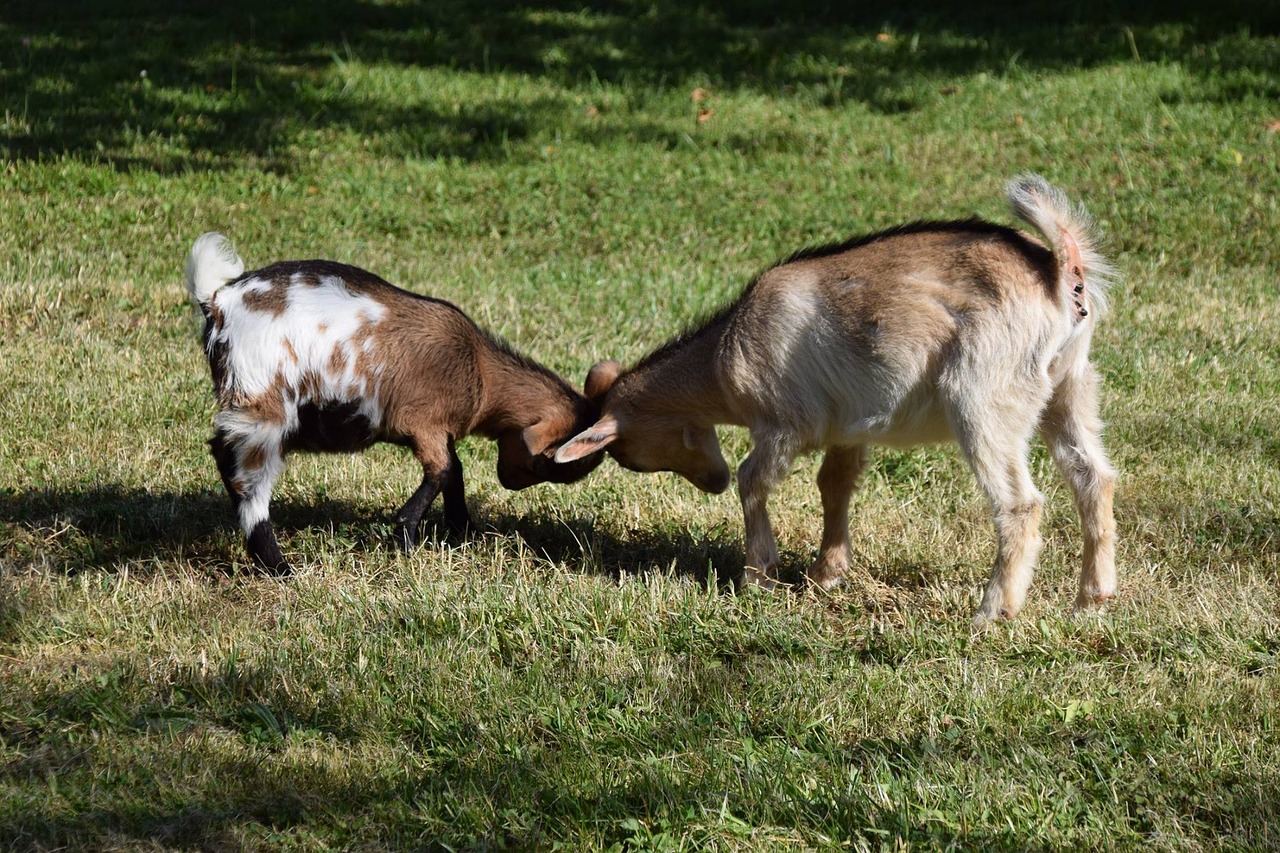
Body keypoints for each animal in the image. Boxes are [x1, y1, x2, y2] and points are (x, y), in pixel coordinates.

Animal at [186, 233, 604, 571]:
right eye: (546, 462)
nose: (509, 483)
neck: (479, 372)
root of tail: (219, 301)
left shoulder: (438, 431)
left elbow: (455, 471)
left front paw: (464, 532)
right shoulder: (425, 424)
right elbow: (442, 471)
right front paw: (405, 537)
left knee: (223, 455)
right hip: (263, 406)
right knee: (249, 482)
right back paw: (278, 566)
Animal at [555, 174, 1116, 625]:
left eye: (631, 456)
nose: (712, 483)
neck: (721, 356)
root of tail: (1060, 272)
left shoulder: (785, 421)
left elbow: (754, 479)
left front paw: (758, 575)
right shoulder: (847, 426)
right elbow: (834, 485)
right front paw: (827, 574)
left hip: (985, 395)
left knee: (1020, 502)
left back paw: (992, 612)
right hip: (1070, 386)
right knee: (1092, 476)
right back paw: (1091, 601)